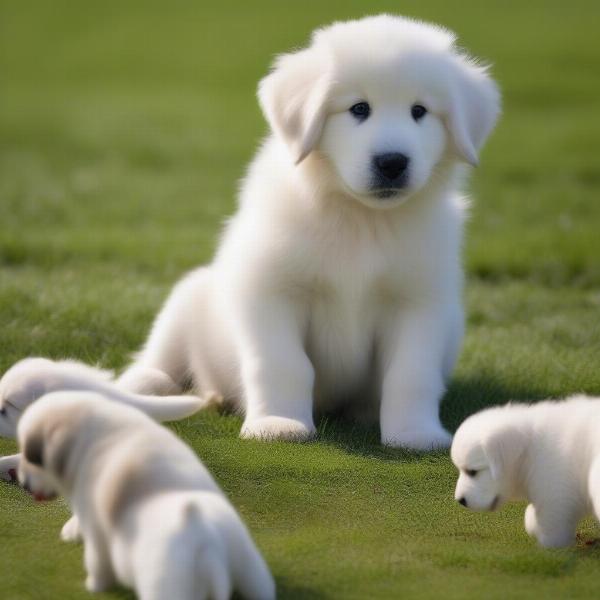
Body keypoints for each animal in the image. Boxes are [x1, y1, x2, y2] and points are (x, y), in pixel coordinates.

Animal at [16, 394, 274, 600]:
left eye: (30, 456)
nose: (22, 482)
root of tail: (205, 538)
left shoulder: (95, 528)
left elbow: (97, 561)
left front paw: (94, 586)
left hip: (164, 581)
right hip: (248, 564)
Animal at [115, 12, 500, 450]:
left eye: (419, 110)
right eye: (359, 108)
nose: (392, 162)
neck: (360, 219)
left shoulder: (421, 302)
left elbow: (411, 374)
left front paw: (414, 434)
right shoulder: (273, 291)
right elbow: (284, 365)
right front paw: (278, 423)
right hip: (188, 297)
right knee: (157, 361)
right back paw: (141, 388)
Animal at [452, 396, 600, 548]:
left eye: (472, 472)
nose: (460, 500)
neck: (529, 450)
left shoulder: (554, 494)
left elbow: (549, 523)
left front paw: (548, 545)